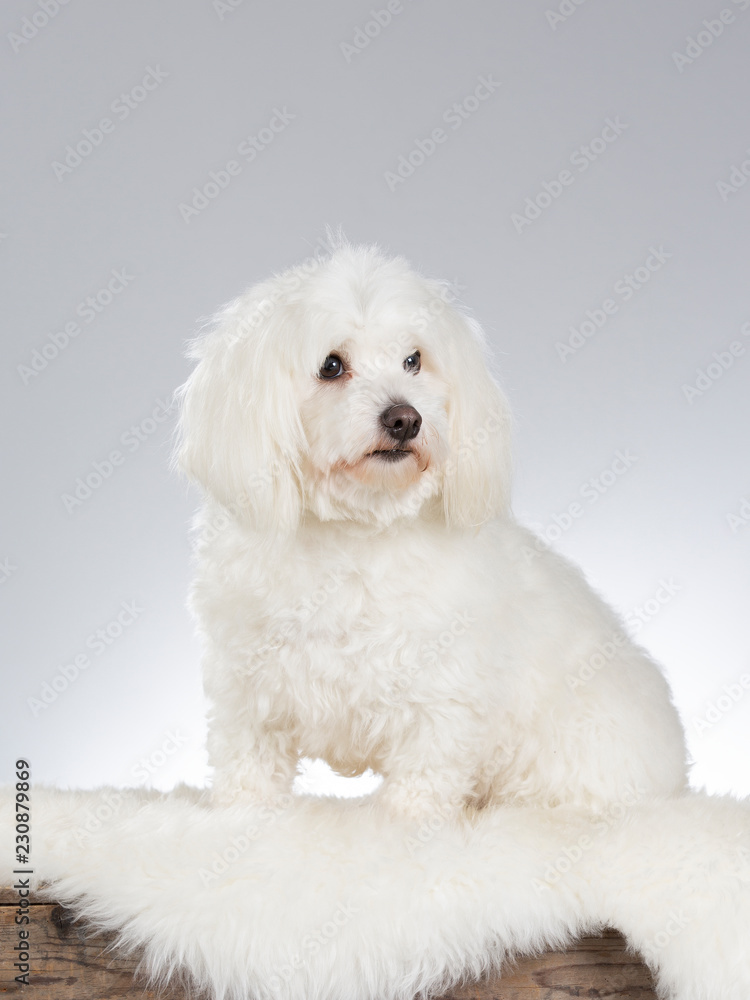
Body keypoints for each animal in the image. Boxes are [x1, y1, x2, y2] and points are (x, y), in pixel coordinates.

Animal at [176, 242, 688, 820]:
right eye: (331, 365)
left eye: (414, 360)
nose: (405, 418)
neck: (356, 536)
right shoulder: (249, 691)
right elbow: (248, 769)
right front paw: (245, 817)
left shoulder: (441, 697)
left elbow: (423, 779)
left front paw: (405, 824)